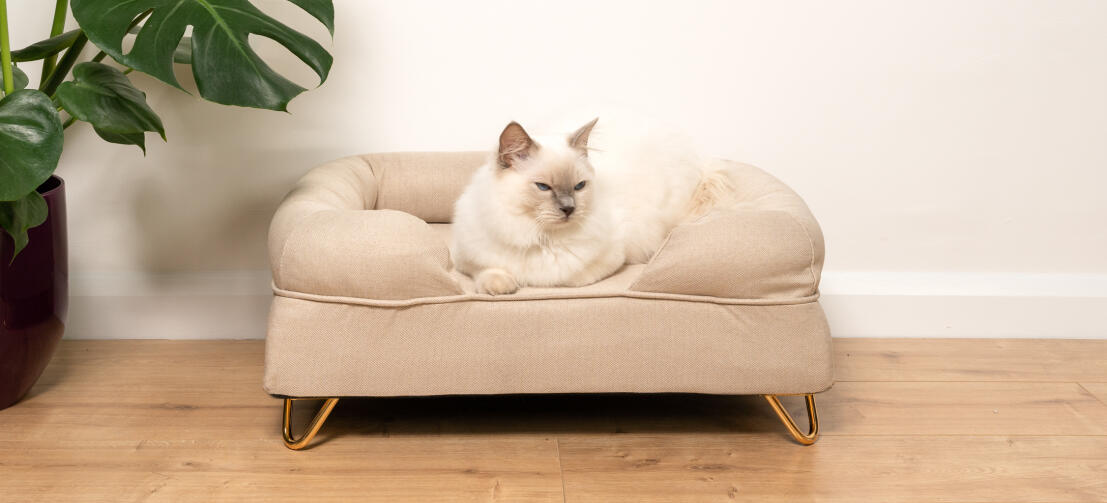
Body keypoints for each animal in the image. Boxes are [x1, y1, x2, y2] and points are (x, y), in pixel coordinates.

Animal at [449, 116, 735, 294]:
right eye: (543, 187)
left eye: (579, 186)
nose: (569, 209)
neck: (538, 235)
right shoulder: (464, 258)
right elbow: (486, 271)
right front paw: (501, 286)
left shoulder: (608, 260)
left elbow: (566, 279)